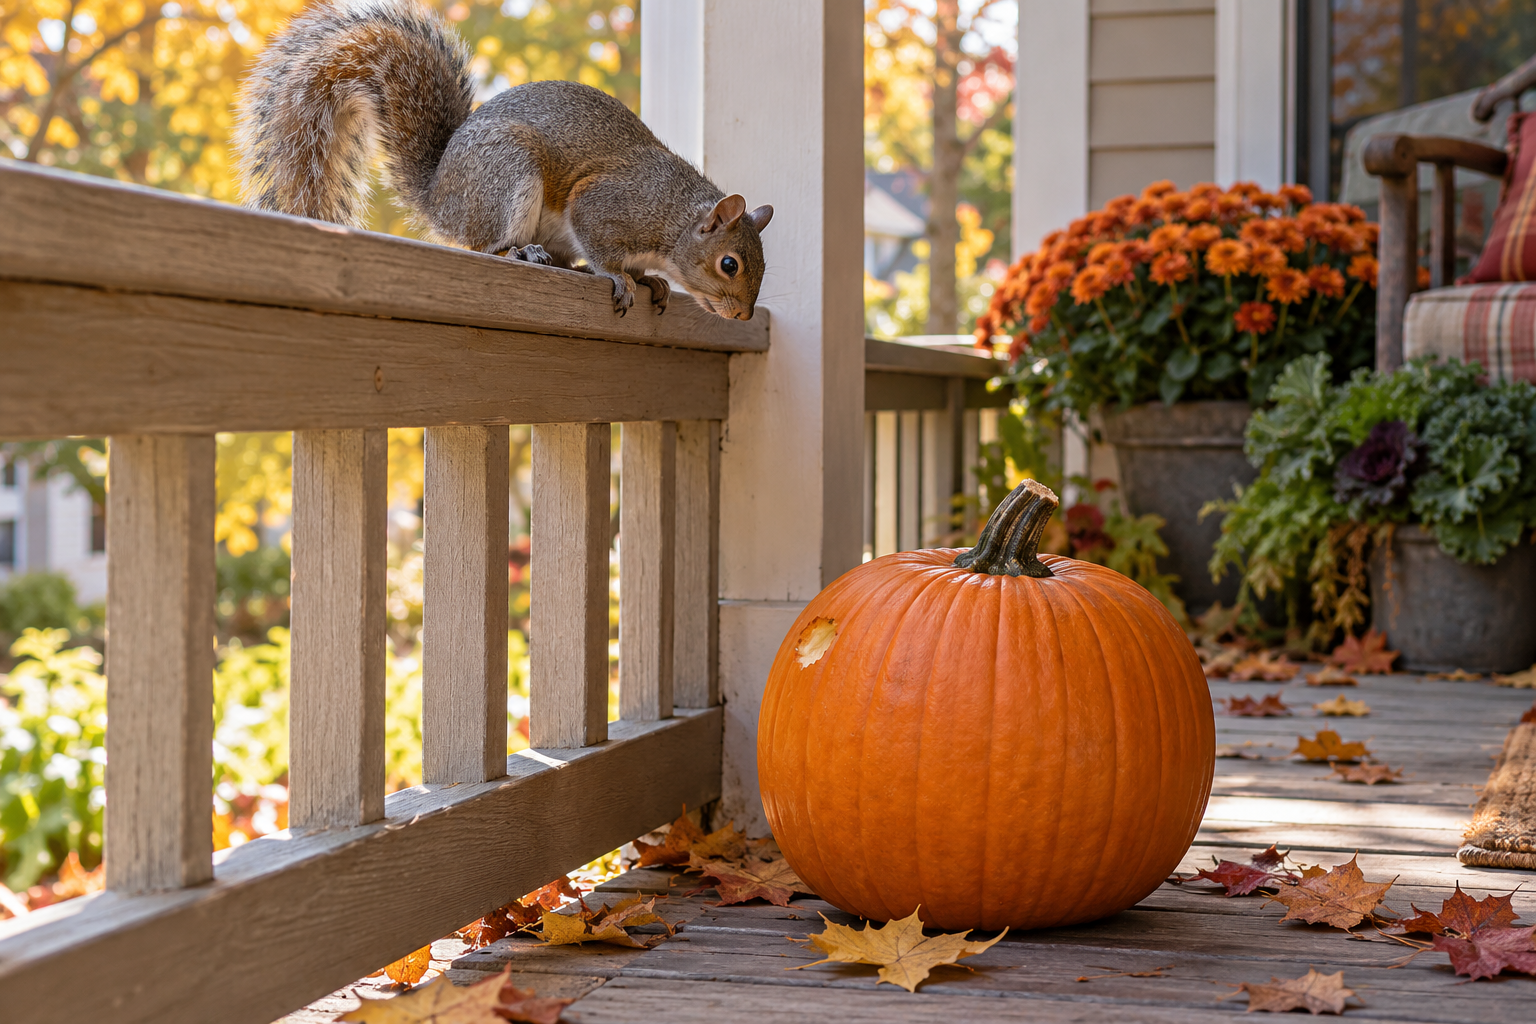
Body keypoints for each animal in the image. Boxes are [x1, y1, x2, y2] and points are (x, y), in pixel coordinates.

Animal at [233, 0, 772, 320]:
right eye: (729, 264)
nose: (743, 316)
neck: (674, 217)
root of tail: (440, 197)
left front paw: (649, 279)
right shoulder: (606, 204)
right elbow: (599, 242)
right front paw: (621, 277)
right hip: (508, 173)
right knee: (483, 245)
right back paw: (520, 252)